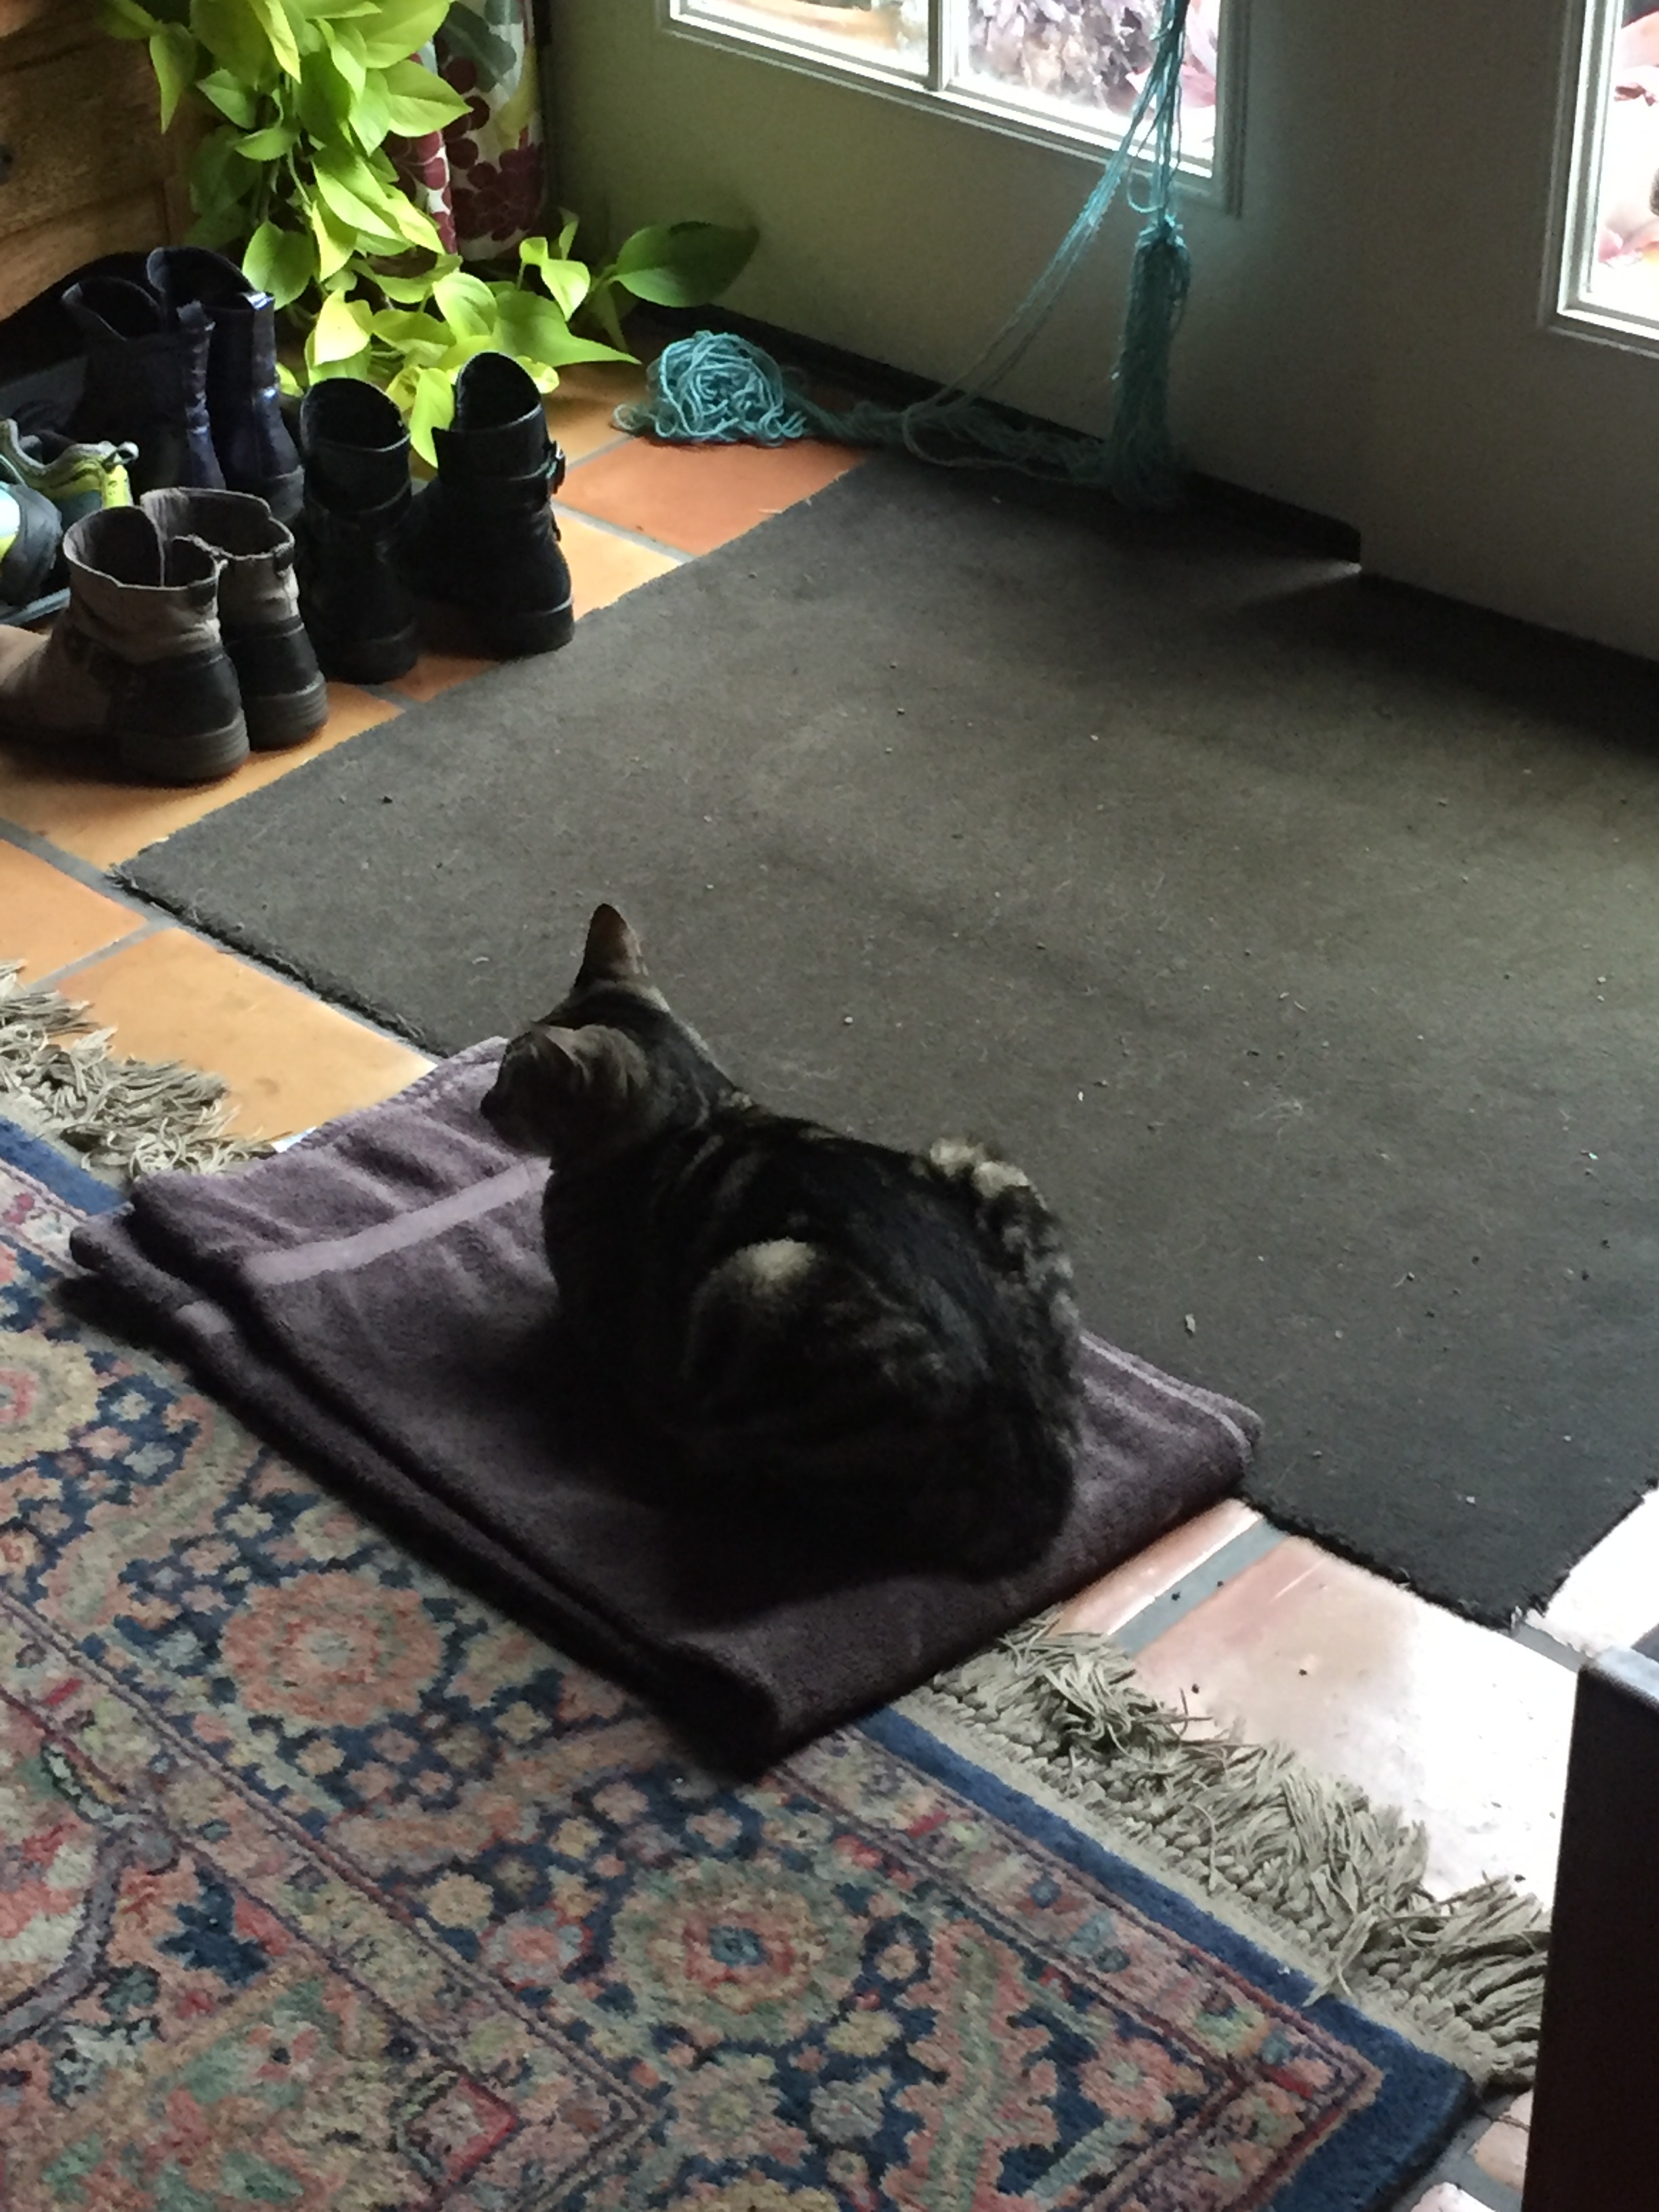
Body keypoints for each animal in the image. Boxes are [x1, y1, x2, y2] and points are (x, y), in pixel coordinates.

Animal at [481, 903, 1082, 1580]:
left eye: (511, 1080)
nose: (481, 1105)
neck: (696, 1112)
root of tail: (1035, 1494)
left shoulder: (602, 1319)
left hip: (763, 1280)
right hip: (976, 1160)